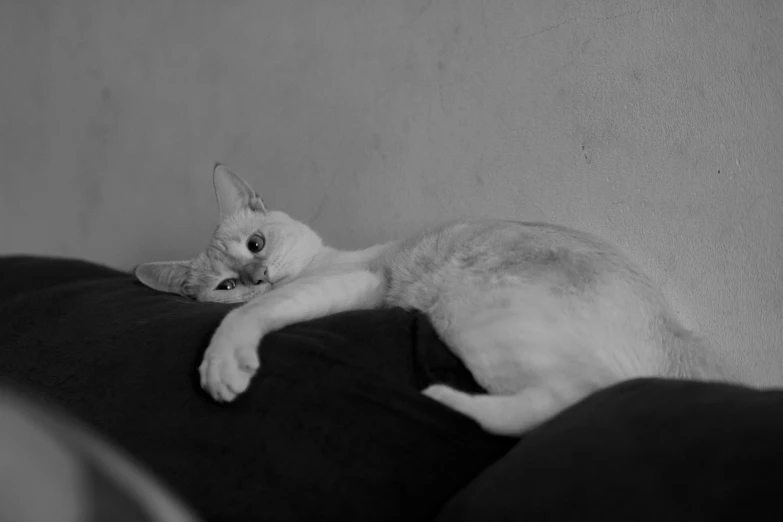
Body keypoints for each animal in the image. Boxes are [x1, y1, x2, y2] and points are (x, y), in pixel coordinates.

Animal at [135, 162, 728, 434]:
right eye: (226, 286)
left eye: (256, 244)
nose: (257, 276)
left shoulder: (350, 282)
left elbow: (243, 323)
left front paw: (220, 369)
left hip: (465, 314)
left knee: (573, 395)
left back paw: (444, 398)